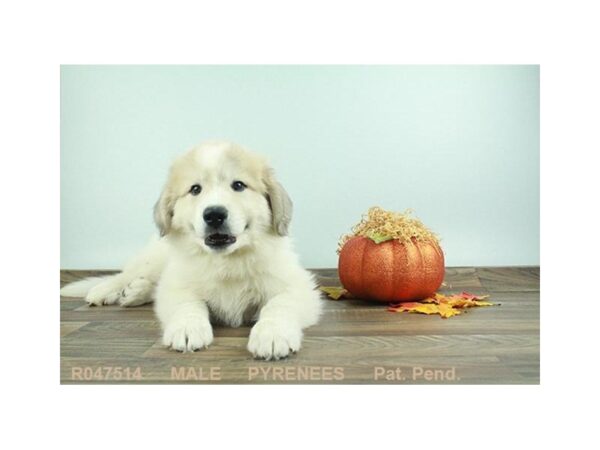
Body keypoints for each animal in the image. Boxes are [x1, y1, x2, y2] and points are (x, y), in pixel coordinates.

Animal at [59, 142, 324, 360]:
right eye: (195, 189)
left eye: (238, 185)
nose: (214, 214)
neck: (226, 261)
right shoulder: (179, 284)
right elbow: (188, 304)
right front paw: (187, 329)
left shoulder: (297, 286)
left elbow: (278, 305)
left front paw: (272, 335)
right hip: (155, 258)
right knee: (127, 275)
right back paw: (107, 291)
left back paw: (133, 292)